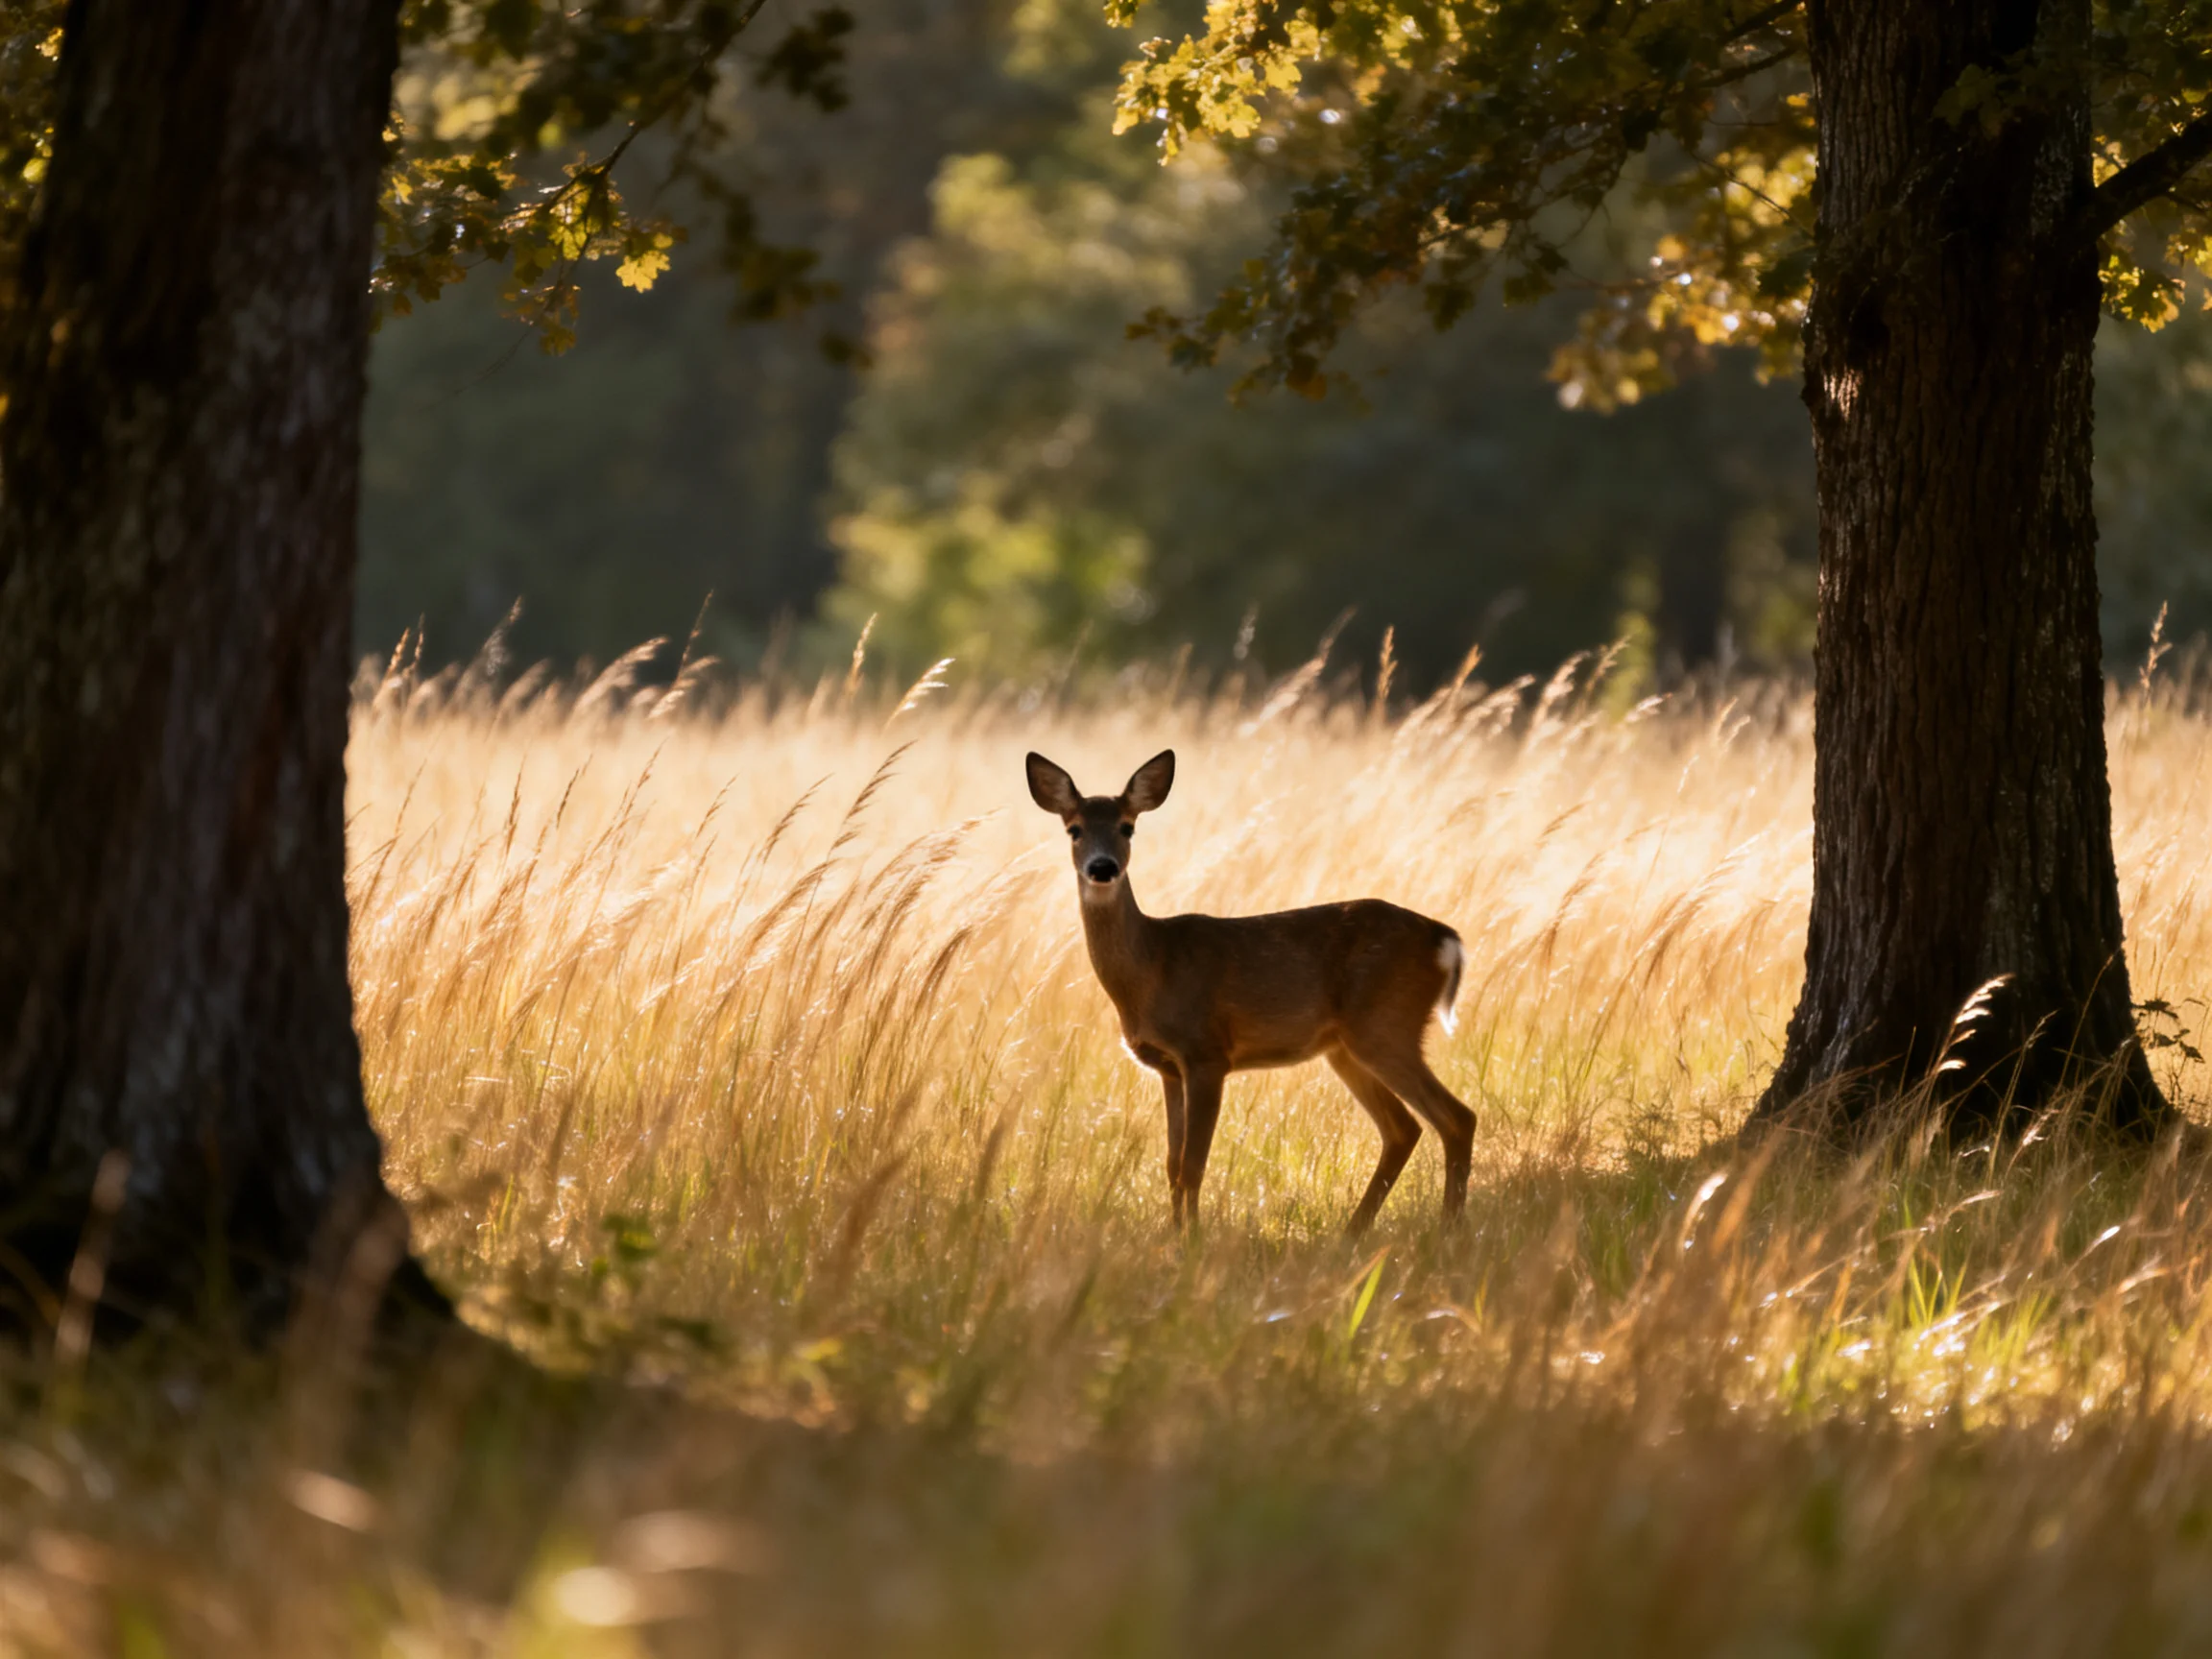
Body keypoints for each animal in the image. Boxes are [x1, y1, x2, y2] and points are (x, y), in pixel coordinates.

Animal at [1026, 749, 1476, 1233]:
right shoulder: (1169, 1067)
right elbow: (1171, 1164)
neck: (1152, 966)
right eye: (1074, 829)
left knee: (1456, 1117)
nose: (1103, 867)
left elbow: (1193, 1165)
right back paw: (1353, 1233)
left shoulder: (1207, 1053)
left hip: (1386, 1026)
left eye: (1128, 826)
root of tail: (1444, 938)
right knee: (1403, 1129)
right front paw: (1174, 1234)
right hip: (1346, 1048)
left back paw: (1447, 1227)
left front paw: (1192, 1239)